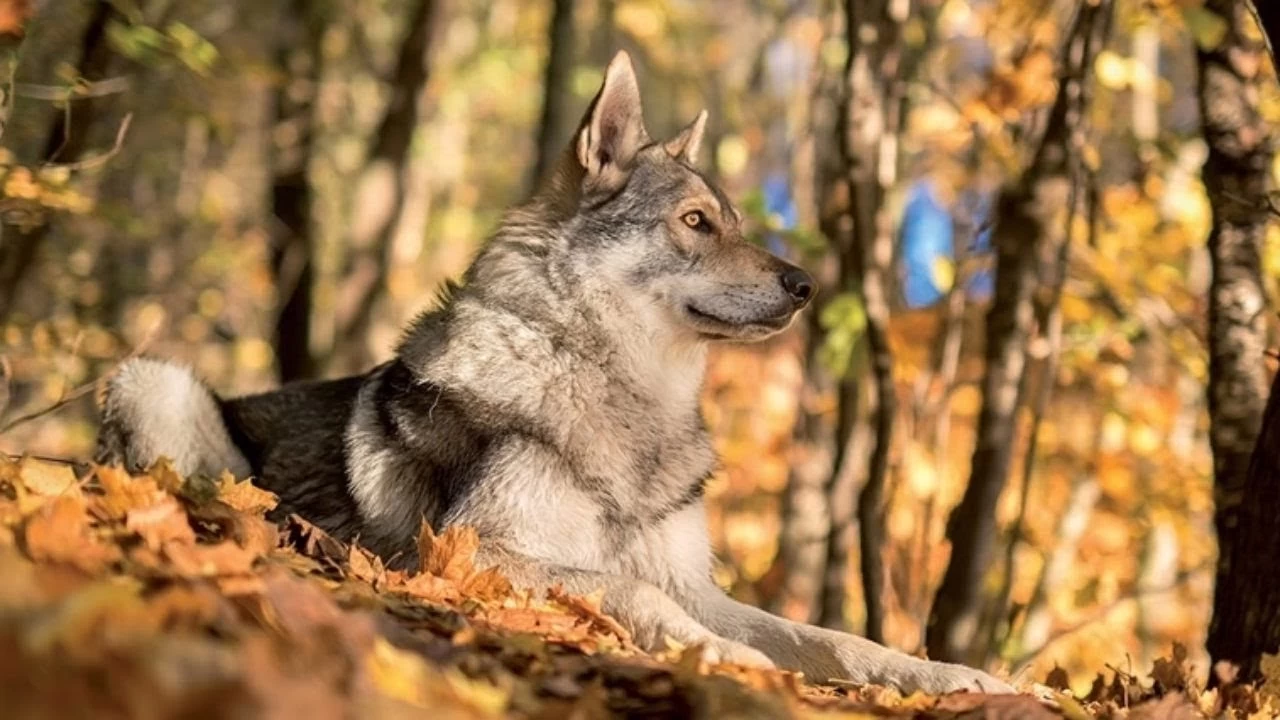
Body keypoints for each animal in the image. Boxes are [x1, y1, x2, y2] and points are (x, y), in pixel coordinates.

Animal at [97, 50, 1008, 691]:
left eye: (737, 224)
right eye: (695, 222)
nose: (806, 285)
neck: (619, 393)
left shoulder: (698, 583)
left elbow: (836, 639)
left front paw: (950, 675)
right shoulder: (477, 552)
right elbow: (632, 595)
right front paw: (732, 662)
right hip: (157, 383)